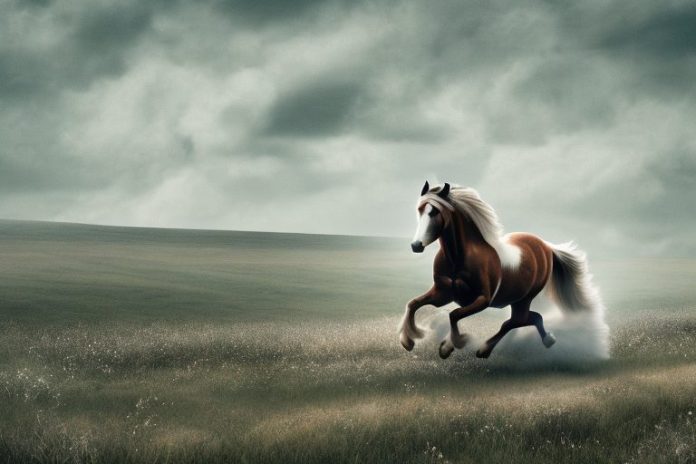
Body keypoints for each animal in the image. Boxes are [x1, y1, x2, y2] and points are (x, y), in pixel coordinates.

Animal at [398, 181, 602, 359]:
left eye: (434, 212)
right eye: (420, 210)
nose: (416, 245)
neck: (459, 258)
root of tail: (545, 246)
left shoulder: (482, 300)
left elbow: (454, 314)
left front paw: (450, 346)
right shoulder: (443, 293)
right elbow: (413, 304)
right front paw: (408, 341)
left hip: (525, 298)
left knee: (515, 321)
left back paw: (484, 349)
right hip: (518, 299)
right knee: (530, 318)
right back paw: (548, 339)